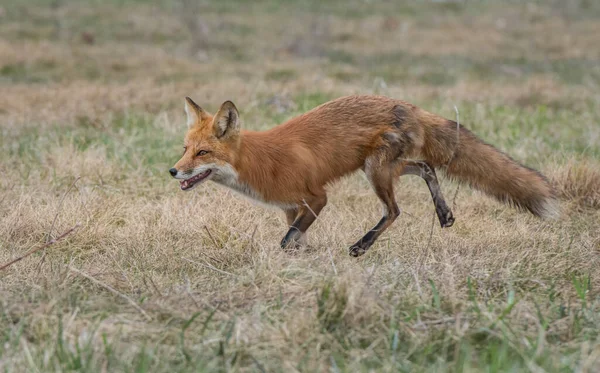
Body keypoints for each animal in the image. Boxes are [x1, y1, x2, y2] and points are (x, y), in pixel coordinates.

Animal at [169, 95, 556, 256]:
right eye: (185, 148)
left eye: (203, 154)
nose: (173, 170)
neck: (259, 160)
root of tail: (411, 106)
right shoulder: (292, 208)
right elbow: (296, 238)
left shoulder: (316, 198)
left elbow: (287, 240)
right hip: (386, 166)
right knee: (426, 168)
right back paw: (444, 213)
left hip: (376, 171)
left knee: (395, 210)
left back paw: (363, 245)